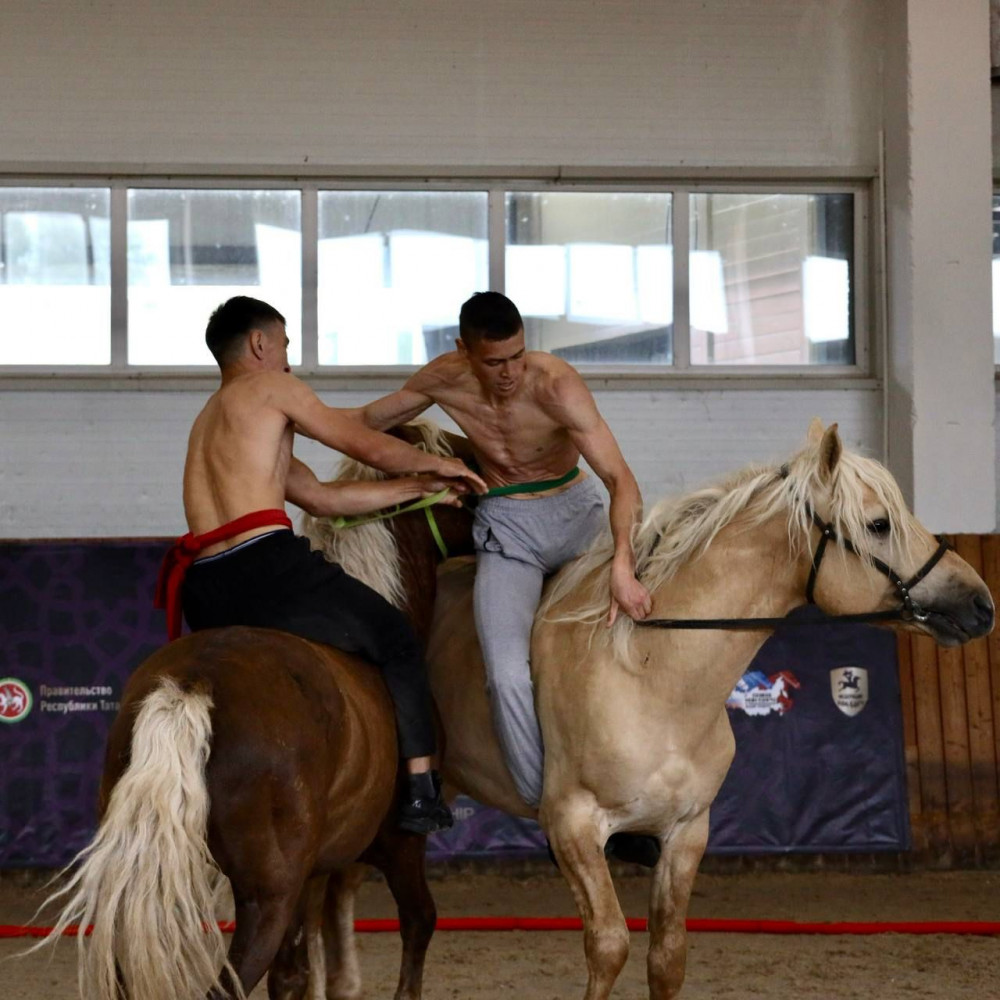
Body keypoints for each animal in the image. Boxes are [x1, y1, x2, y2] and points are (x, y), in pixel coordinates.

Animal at [35, 420, 476, 1000]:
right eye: (467, 460)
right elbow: (419, 922)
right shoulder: (400, 847)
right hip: (266, 898)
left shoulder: (314, 873)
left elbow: (301, 971)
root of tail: (194, 685)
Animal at [308, 420, 996, 1000]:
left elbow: (666, 957)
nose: (981, 604)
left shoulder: (686, 833)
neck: (652, 670)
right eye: (879, 524)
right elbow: (609, 946)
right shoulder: (574, 828)